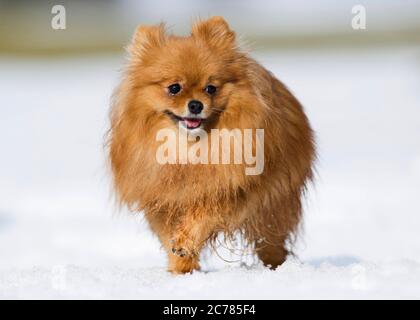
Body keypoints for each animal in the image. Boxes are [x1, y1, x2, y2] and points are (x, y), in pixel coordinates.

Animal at [109, 16, 316, 274]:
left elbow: (202, 216)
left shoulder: (229, 190)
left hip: (273, 206)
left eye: (211, 88)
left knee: (272, 243)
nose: (196, 104)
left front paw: (185, 243)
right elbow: (169, 236)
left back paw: (278, 268)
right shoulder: (162, 200)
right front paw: (181, 267)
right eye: (174, 88)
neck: (189, 150)